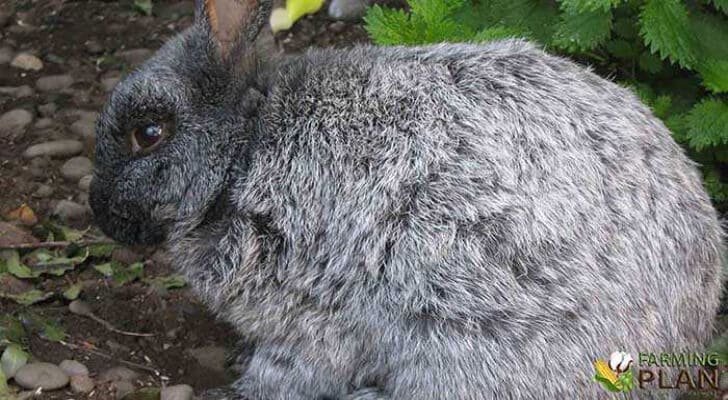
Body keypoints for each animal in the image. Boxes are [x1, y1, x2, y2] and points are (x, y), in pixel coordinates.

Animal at [88, 0, 724, 398]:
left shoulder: (305, 314)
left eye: (149, 132)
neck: (242, 149)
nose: (100, 213)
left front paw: (238, 388)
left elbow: (292, 373)